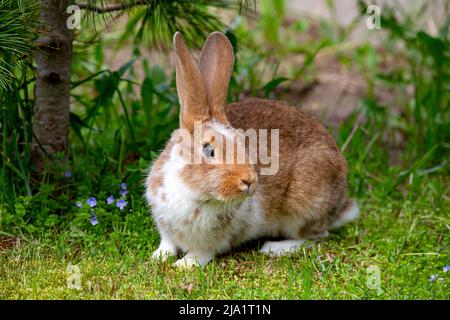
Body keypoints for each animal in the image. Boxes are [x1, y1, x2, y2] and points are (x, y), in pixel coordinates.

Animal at [144, 31, 358, 268]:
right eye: (209, 150)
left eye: (243, 143)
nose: (248, 181)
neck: (192, 192)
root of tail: (340, 203)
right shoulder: (166, 227)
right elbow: (167, 243)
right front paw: (158, 256)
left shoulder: (214, 241)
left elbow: (201, 253)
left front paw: (183, 265)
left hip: (304, 206)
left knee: (316, 237)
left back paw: (274, 248)